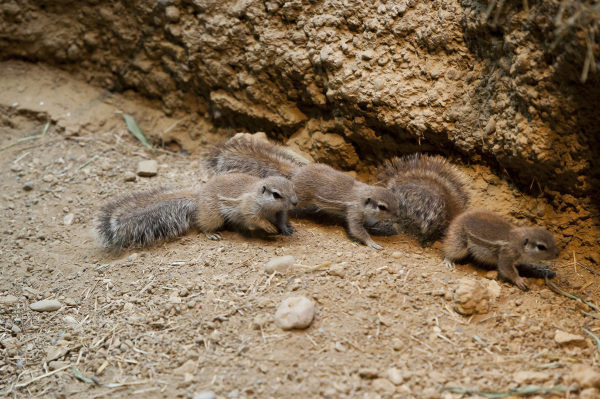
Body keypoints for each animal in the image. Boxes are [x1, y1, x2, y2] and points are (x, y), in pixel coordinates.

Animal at [95, 172, 298, 250]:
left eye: (293, 188)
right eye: (276, 195)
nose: (295, 202)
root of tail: (198, 197)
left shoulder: (281, 212)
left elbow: (281, 220)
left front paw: (286, 228)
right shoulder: (249, 207)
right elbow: (254, 218)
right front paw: (268, 227)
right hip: (213, 216)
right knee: (202, 225)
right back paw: (212, 234)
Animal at [206, 136, 398, 252]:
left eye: (395, 201)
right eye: (382, 206)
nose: (397, 217)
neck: (364, 195)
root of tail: (297, 172)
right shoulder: (354, 212)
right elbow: (358, 230)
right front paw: (372, 242)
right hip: (299, 197)